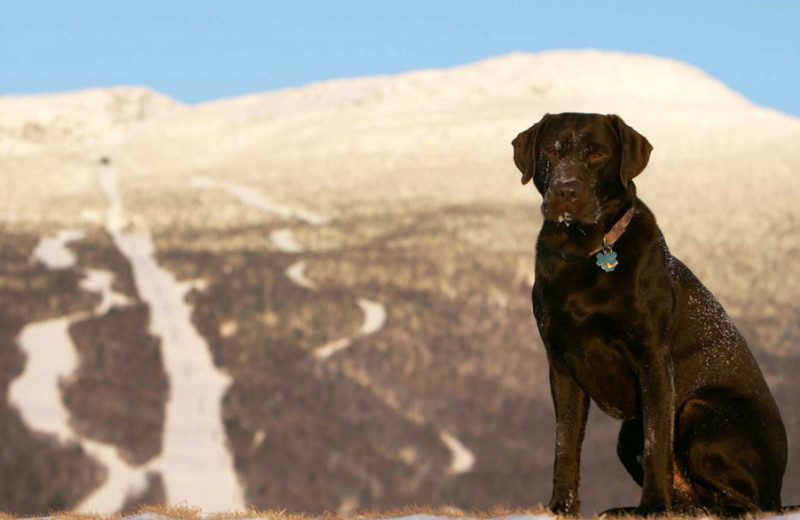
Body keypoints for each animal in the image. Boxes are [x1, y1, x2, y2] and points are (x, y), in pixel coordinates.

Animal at [512, 112, 788, 516]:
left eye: (597, 153)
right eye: (551, 151)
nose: (566, 190)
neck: (583, 252)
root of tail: (779, 491)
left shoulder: (652, 358)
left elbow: (657, 442)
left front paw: (654, 507)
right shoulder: (561, 365)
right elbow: (565, 446)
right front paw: (560, 508)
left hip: (698, 411)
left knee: (743, 504)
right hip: (628, 435)